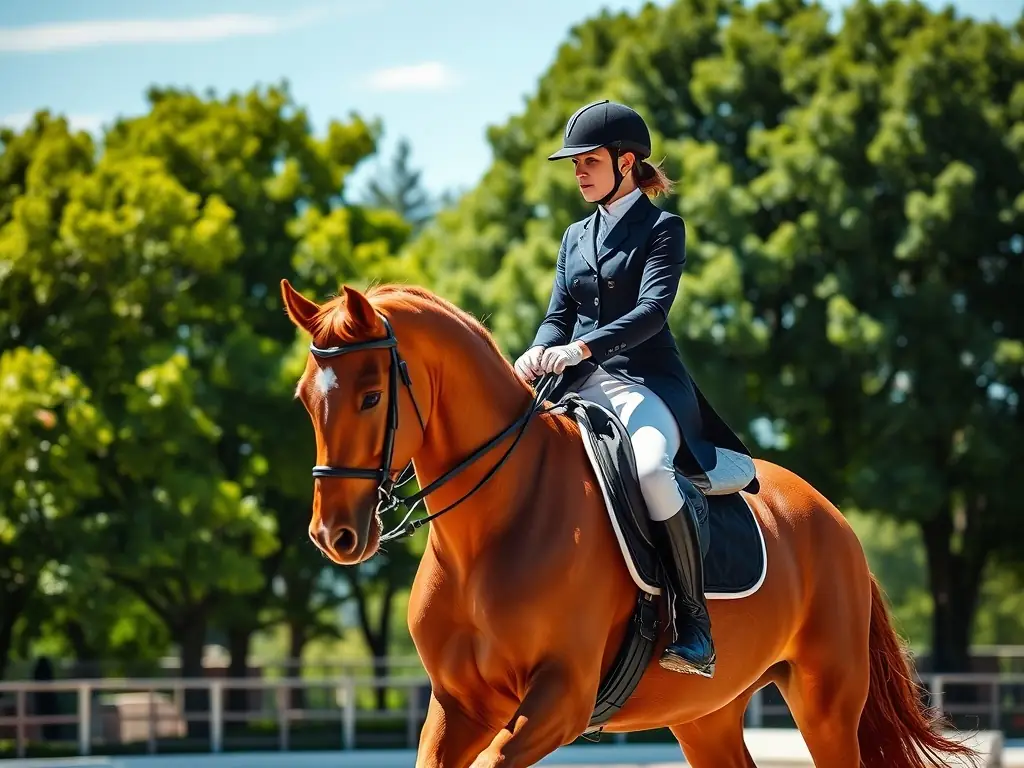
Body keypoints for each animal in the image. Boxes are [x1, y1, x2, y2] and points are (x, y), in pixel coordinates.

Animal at [280, 278, 979, 768]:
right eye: (304, 399)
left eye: (371, 396)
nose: (334, 535)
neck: (491, 530)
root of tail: (834, 520)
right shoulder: (459, 705)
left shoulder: (561, 699)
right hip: (705, 714)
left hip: (827, 699)